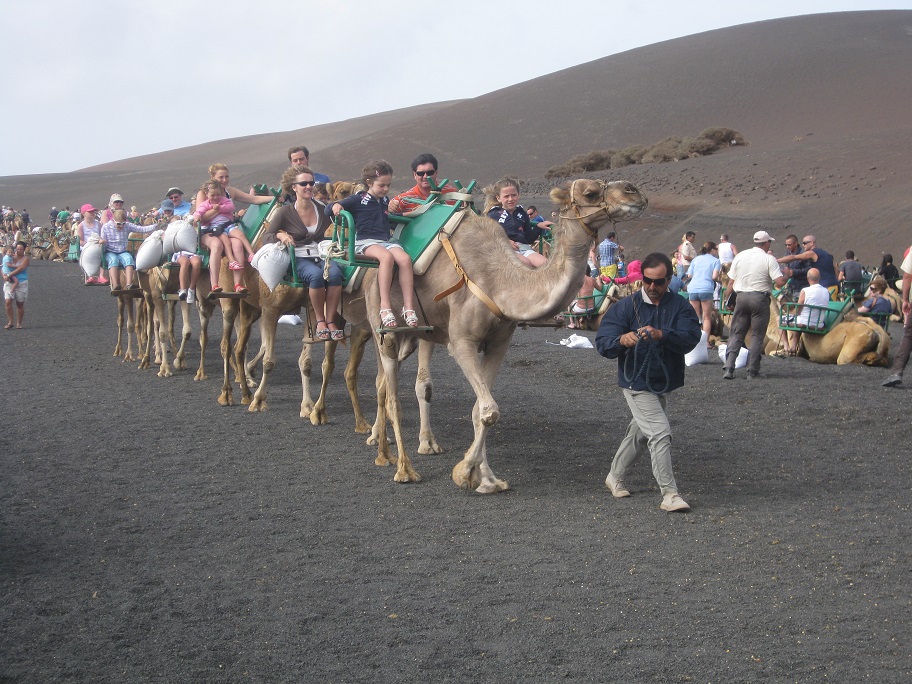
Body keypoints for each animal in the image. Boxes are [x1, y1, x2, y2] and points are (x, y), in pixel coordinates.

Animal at [364, 178, 648, 492]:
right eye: (590, 193)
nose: (633, 191)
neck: (499, 282)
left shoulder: (498, 343)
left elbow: (480, 411)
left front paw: (486, 478)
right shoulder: (461, 341)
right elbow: (489, 409)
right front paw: (464, 472)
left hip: (421, 333)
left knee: (396, 383)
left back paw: (403, 446)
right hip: (383, 323)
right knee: (390, 395)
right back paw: (401, 466)